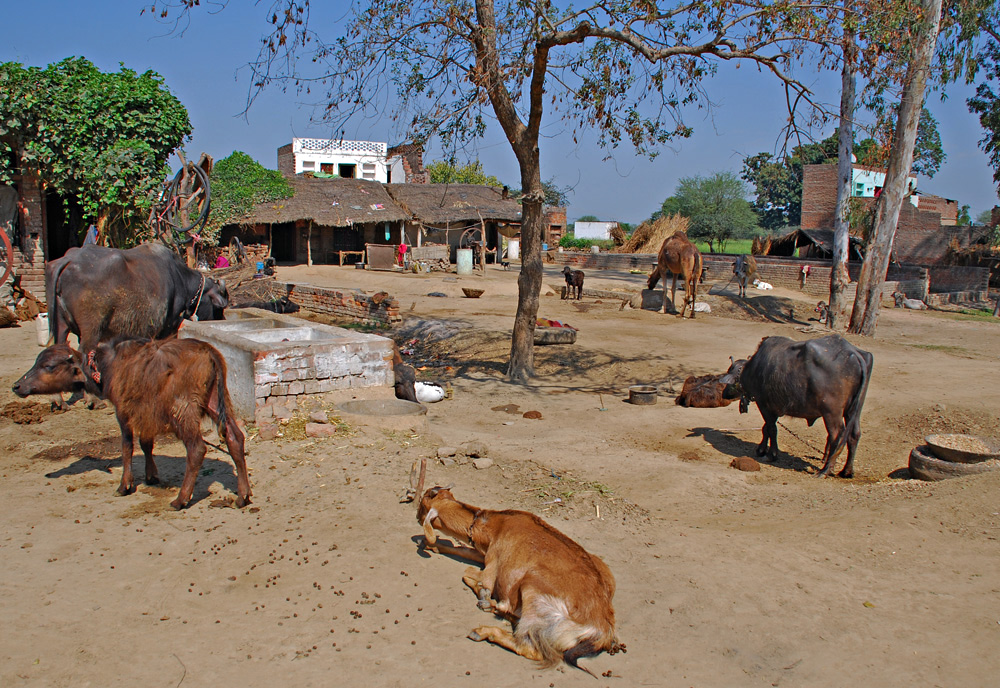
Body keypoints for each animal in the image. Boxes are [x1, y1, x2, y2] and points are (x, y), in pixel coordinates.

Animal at [416, 486, 620, 676]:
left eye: (423, 503)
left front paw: (485, 598)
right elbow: (463, 551)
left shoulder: (491, 567)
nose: (417, 517)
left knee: (528, 647)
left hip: (532, 591)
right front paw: (432, 545)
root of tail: (602, 629)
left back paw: (483, 630)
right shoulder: (483, 553)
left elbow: (468, 573)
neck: (496, 526)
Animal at [728, 334, 876, 478]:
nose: (726, 392)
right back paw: (847, 471)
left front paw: (771, 454)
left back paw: (824, 471)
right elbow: (767, 428)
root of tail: (854, 354)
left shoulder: (764, 404)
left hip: (831, 412)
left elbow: (771, 429)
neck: (754, 368)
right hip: (854, 409)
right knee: (854, 434)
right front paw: (761, 449)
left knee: (836, 435)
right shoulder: (774, 408)